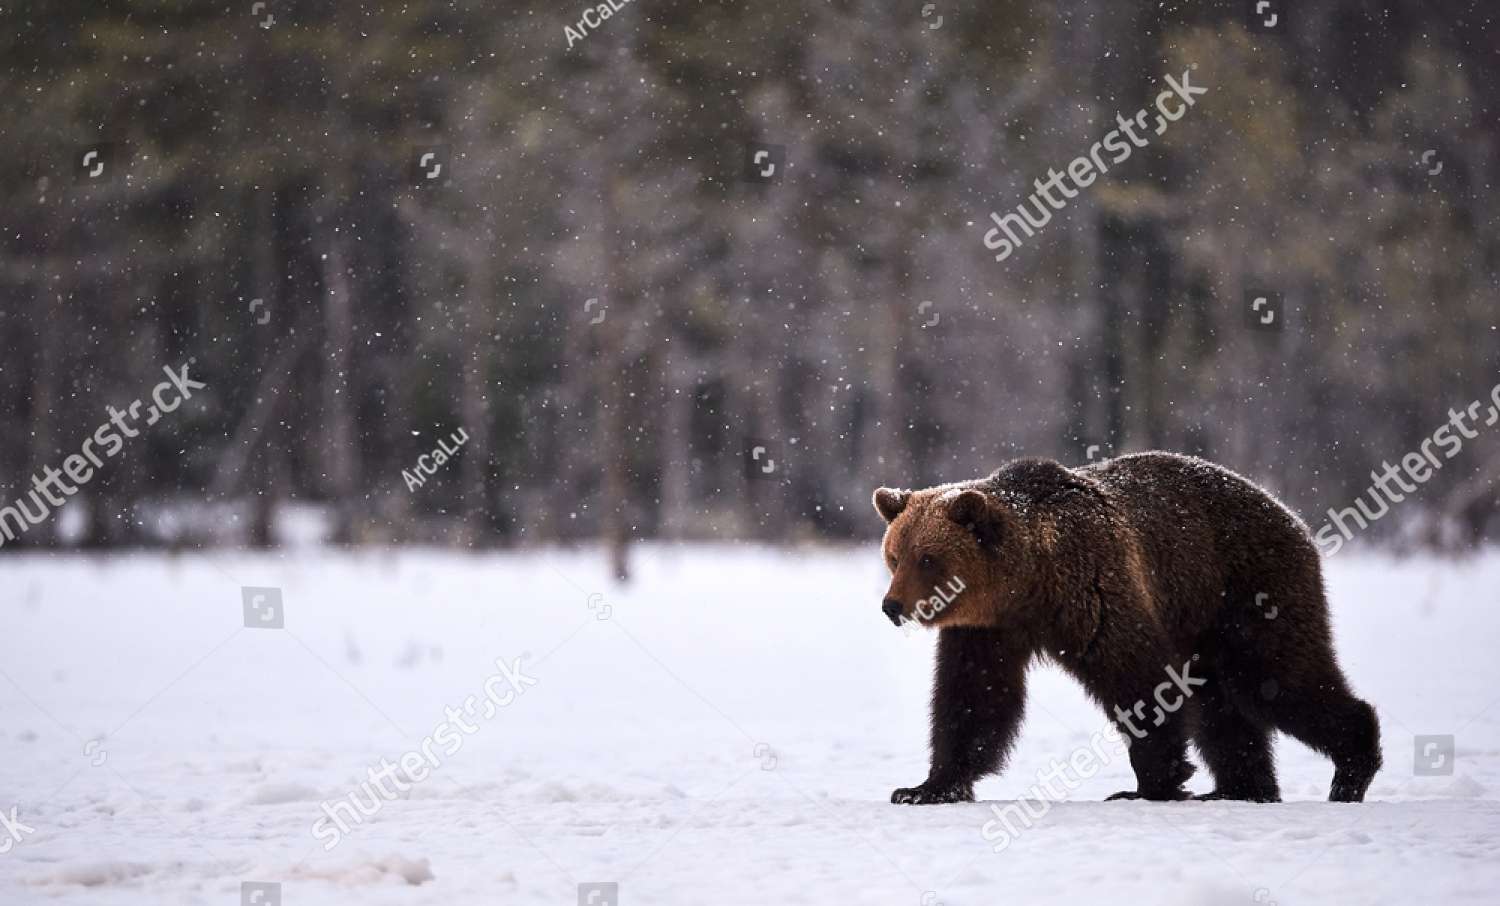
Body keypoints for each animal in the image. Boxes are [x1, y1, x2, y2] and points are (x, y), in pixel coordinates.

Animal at [876, 456, 1380, 804]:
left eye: (928, 558)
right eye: (895, 556)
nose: (892, 606)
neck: (1028, 581)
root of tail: (1291, 516)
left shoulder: (1094, 587)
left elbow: (1138, 677)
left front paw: (1152, 781)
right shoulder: (987, 628)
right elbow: (973, 698)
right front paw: (925, 787)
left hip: (1246, 590)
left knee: (1277, 678)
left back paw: (1350, 770)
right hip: (1203, 626)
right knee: (1223, 707)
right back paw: (1241, 788)